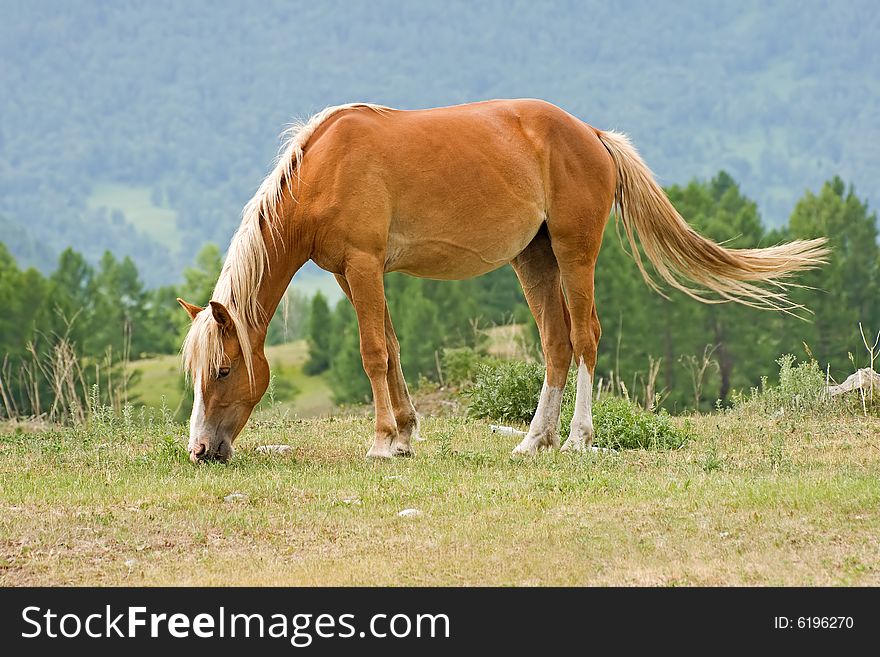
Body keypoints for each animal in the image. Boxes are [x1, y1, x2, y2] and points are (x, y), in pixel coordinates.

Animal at [177, 100, 824, 464]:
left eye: (224, 370)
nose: (201, 451)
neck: (323, 168)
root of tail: (590, 133)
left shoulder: (362, 267)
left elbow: (373, 353)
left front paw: (383, 441)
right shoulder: (355, 274)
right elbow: (393, 349)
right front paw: (406, 435)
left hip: (574, 254)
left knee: (585, 336)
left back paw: (579, 438)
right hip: (533, 260)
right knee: (556, 342)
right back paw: (534, 440)